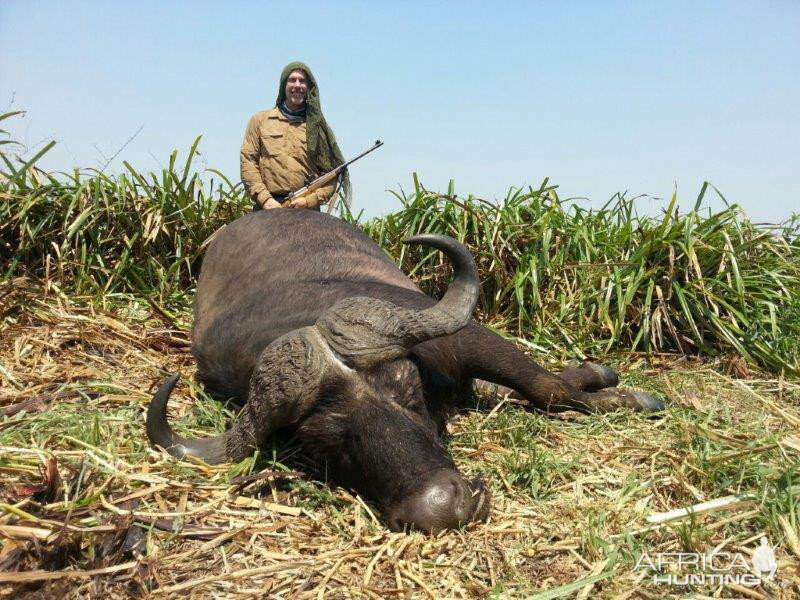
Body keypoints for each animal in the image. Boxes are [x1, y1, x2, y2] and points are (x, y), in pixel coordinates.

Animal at [147, 209, 664, 532]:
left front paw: (627, 397)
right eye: (322, 441)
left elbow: (547, 387)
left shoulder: (467, 337)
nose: (443, 508)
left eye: (408, 389)